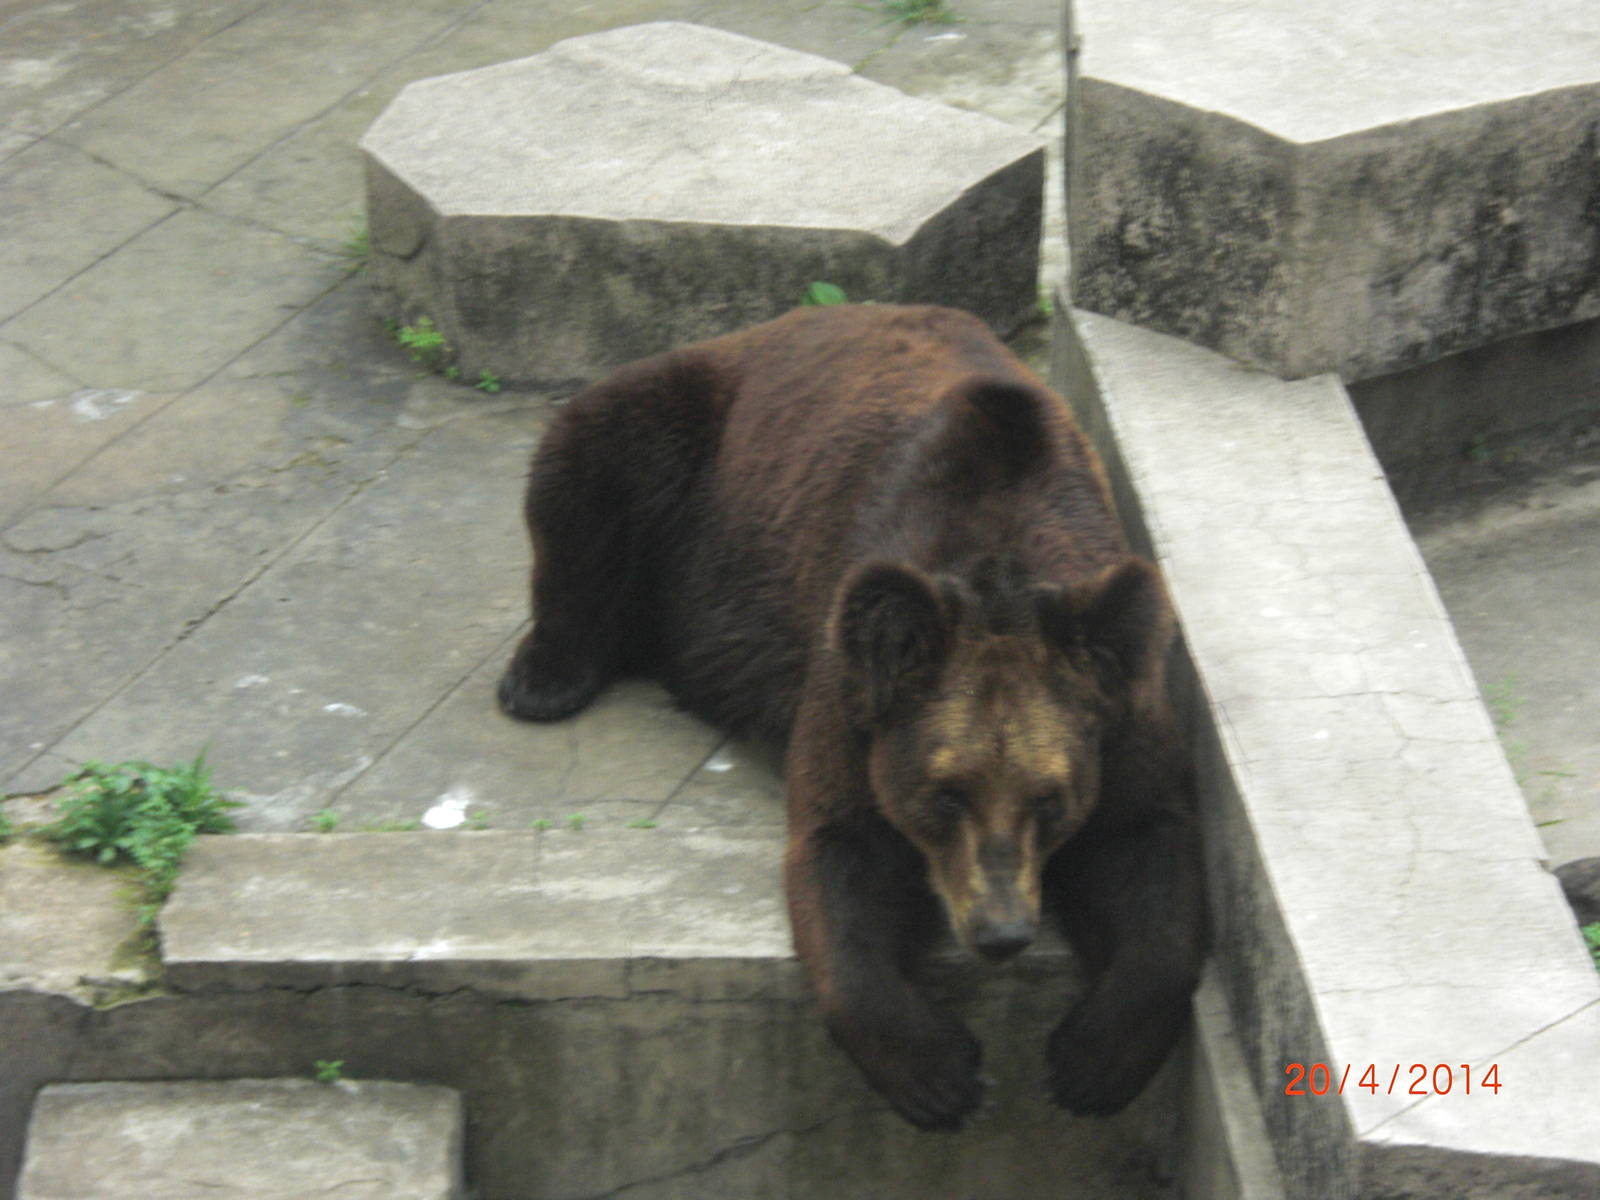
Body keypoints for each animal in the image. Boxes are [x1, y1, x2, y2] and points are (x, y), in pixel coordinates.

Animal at [498, 303, 1205, 1131]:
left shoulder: (1120, 709)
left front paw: (1092, 1061)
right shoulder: (852, 688)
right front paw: (939, 1074)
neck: (1000, 546)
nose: (1000, 933)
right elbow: (843, 854)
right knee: (585, 464)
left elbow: (1147, 847)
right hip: (685, 447)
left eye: (1050, 798)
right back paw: (543, 678)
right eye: (945, 794)